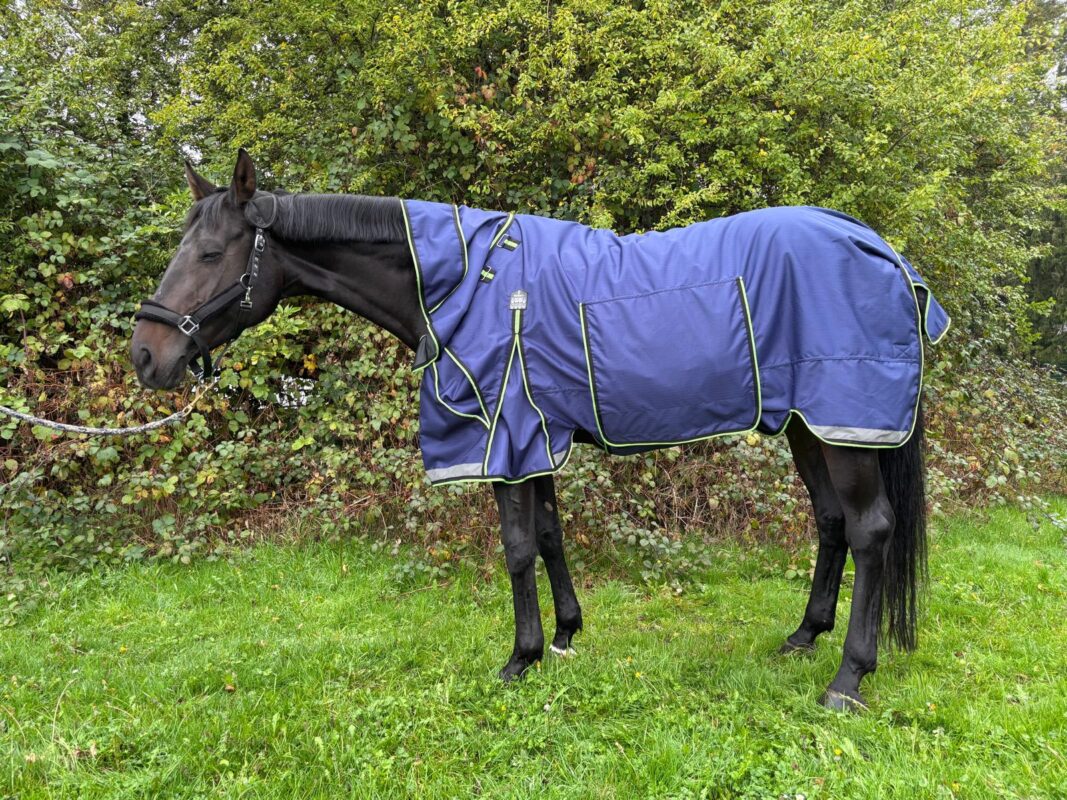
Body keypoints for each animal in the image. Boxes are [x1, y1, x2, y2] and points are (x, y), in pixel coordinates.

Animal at [132, 150, 949, 711]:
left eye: (211, 253)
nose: (146, 355)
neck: (463, 282)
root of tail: (881, 250)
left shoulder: (503, 436)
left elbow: (518, 547)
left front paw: (518, 658)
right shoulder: (534, 436)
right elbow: (552, 537)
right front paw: (563, 637)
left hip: (845, 423)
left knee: (870, 529)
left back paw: (847, 678)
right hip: (813, 426)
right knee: (831, 523)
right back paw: (802, 638)